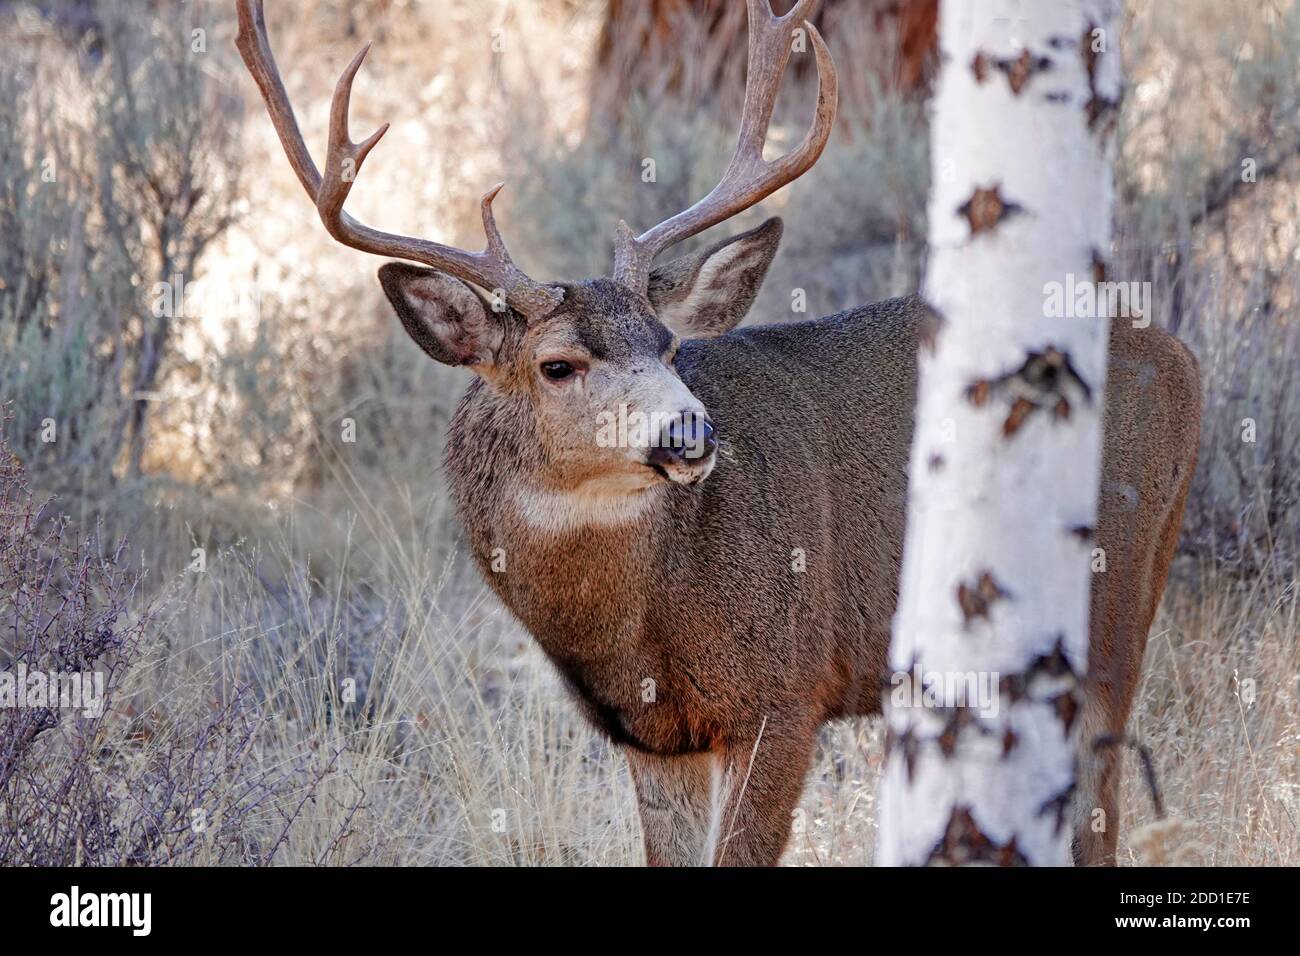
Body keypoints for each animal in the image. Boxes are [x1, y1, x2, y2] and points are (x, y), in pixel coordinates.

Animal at [235, 0, 1201, 866]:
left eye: (669, 345)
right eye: (558, 365)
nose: (689, 430)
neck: (642, 624)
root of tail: (1180, 354)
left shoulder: (785, 690)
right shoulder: (653, 737)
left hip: (1112, 604)